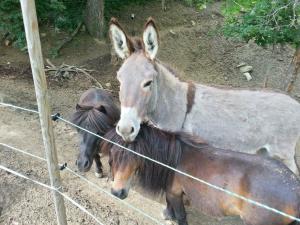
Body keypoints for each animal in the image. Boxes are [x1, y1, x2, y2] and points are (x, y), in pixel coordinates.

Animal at [101, 125, 300, 225]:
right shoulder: (173, 192)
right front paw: (168, 215)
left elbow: (181, 217)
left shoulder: (175, 193)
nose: (117, 192)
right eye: (113, 154)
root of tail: (294, 189)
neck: (174, 160)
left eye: (134, 155)